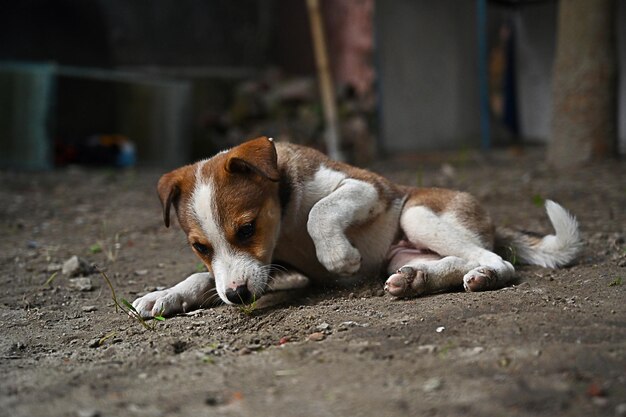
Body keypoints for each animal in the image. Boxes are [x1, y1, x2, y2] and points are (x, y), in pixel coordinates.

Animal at [133, 136, 580, 316]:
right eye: (200, 247)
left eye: (246, 229)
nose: (238, 297)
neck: (285, 220)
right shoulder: (267, 267)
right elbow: (202, 278)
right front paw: (164, 296)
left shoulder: (368, 187)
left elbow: (321, 211)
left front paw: (338, 257)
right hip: (401, 253)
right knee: (456, 260)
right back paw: (417, 279)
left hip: (415, 212)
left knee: (497, 260)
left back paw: (484, 275)